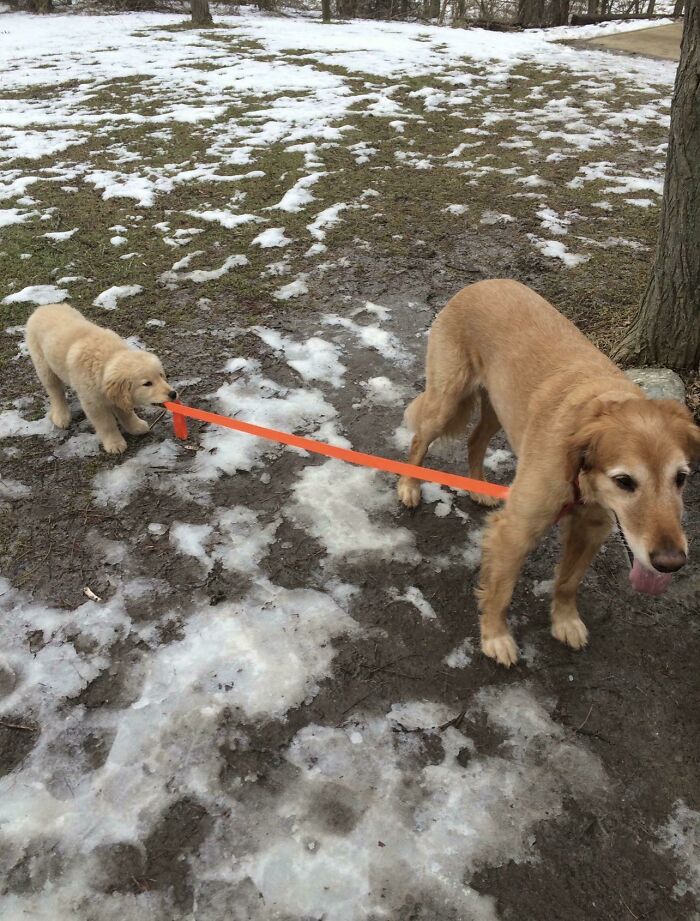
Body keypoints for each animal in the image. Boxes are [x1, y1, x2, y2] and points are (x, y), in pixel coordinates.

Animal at [26, 304, 178, 454]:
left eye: (161, 375)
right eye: (147, 383)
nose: (173, 393)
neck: (106, 359)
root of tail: (43, 307)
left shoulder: (118, 397)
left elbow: (126, 413)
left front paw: (136, 427)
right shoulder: (93, 403)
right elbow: (106, 424)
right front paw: (115, 444)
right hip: (43, 364)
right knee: (55, 391)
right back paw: (61, 416)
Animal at [396, 276, 696, 664]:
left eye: (681, 478)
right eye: (625, 481)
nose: (671, 563)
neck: (579, 471)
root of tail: (482, 282)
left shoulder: (591, 529)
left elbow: (568, 582)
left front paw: (565, 621)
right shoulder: (515, 532)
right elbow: (501, 591)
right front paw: (495, 637)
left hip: (498, 409)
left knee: (475, 441)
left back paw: (477, 487)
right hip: (447, 399)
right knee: (420, 440)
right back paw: (408, 486)